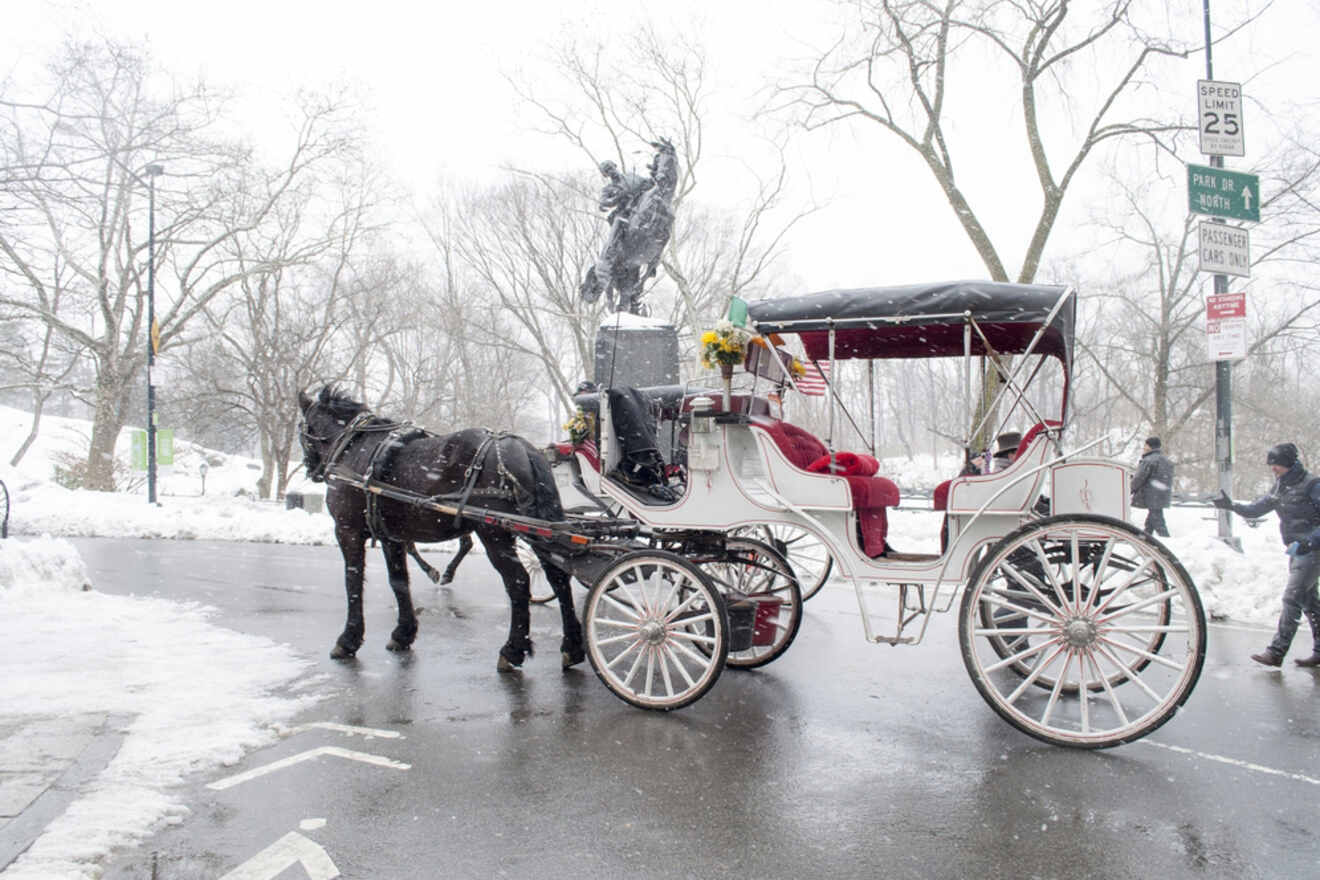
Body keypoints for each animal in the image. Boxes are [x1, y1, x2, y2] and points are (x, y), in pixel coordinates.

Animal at [302, 387, 591, 670]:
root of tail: (524, 449)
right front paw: (403, 634)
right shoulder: (392, 536)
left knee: (518, 581)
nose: (310, 469)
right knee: (558, 577)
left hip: (495, 532)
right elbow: (399, 581)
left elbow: (352, 581)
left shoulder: (347, 530)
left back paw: (513, 649)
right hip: (540, 529)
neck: (352, 447)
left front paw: (348, 640)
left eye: (303, 429)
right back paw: (572, 646)